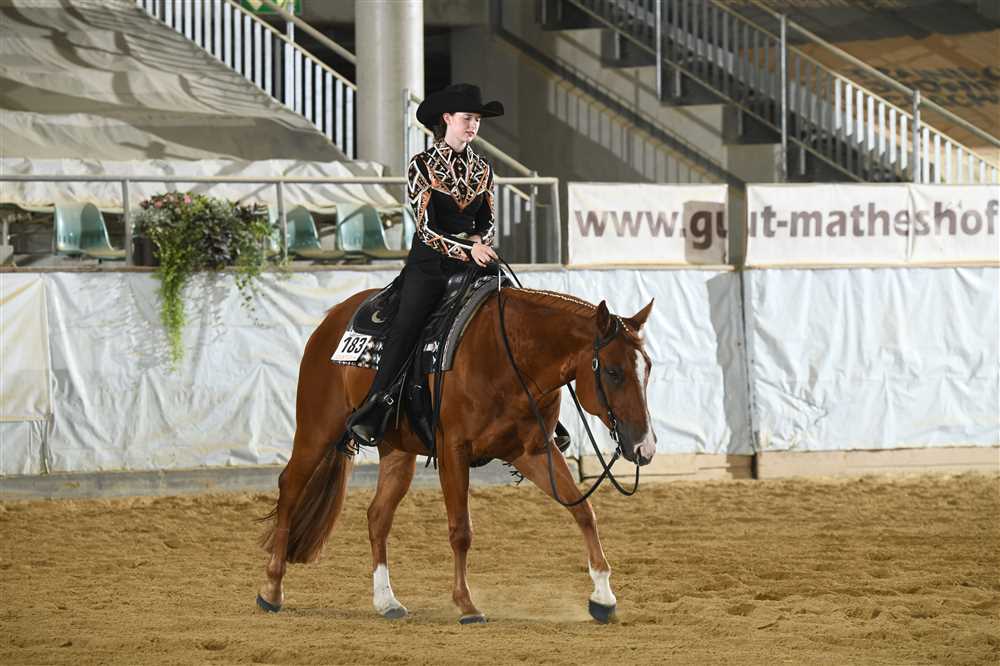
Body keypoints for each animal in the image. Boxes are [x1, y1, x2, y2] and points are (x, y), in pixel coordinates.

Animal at [257, 284, 656, 624]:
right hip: (316, 430)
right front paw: (466, 604)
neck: (508, 356)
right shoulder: (453, 451)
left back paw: (386, 601)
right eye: (613, 371)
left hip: (396, 450)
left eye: (647, 367)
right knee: (289, 487)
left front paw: (603, 597)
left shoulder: (533, 452)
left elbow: (584, 512)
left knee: (377, 516)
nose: (645, 447)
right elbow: (461, 530)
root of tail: (332, 317)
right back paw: (272, 590)